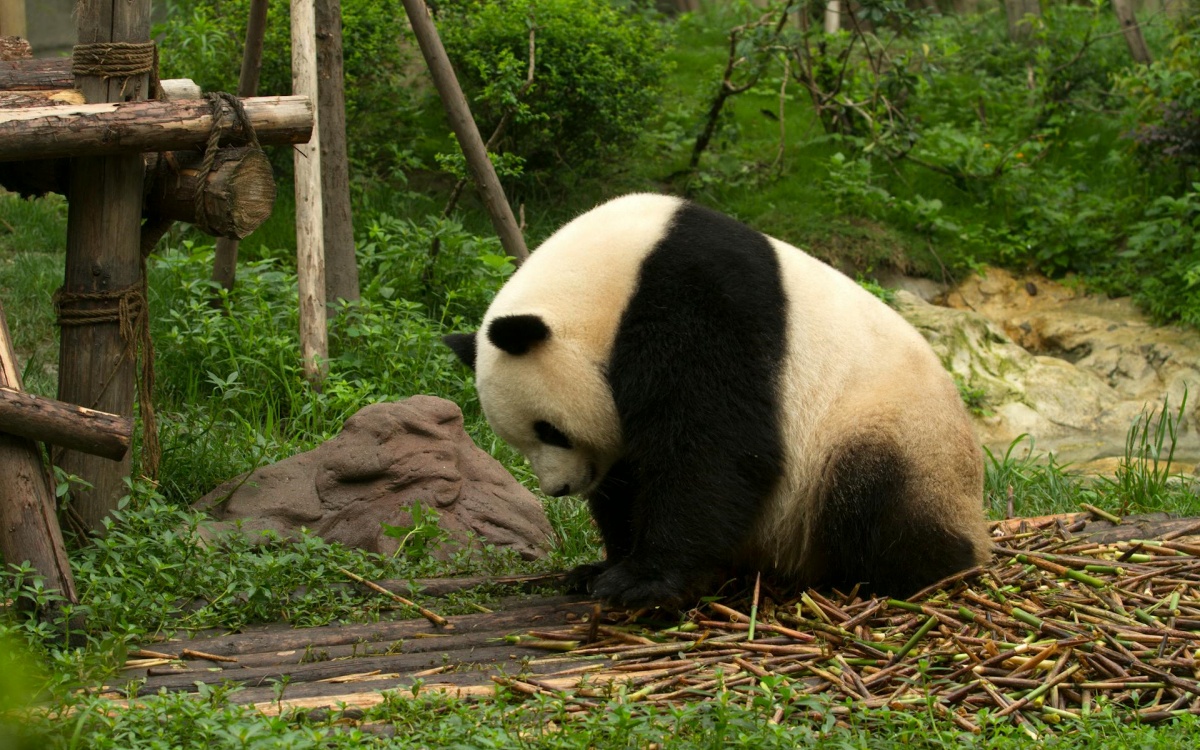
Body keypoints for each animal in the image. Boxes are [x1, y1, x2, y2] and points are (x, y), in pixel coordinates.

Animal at [445, 193, 992, 609]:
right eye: (521, 442)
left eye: (549, 430)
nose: (560, 488)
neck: (610, 277)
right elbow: (630, 473)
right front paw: (600, 568)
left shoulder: (700, 301)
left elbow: (714, 447)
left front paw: (640, 582)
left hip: (899, 433)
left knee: (873, 493)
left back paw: (910, 571)